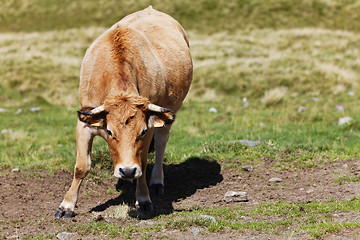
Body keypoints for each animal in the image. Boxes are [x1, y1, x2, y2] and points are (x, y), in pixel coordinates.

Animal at [53, 6, 193, 218]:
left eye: (142, 131)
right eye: (110, 132)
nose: (127, 171)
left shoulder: (150, 127)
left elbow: (142, 162)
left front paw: (143, 199)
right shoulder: (84, 122)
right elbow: (81, 167)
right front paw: (66, 205)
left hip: (167, 117)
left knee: (161, 145)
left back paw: (156, 181)